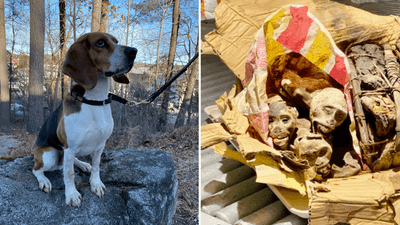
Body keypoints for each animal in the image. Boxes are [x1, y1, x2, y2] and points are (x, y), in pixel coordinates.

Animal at [32, 32, 138, 207]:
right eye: (100, 43)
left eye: (116, 41)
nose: (133, 51)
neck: (94, 101)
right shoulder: (70, 147)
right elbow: (69, 174)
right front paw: (71, 195)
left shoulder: (100, 144)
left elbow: (96, 166)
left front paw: (95, 184)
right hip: (49, 154)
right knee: (37, 169)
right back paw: (44, 181)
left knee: (71, 162)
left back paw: (83, 164)